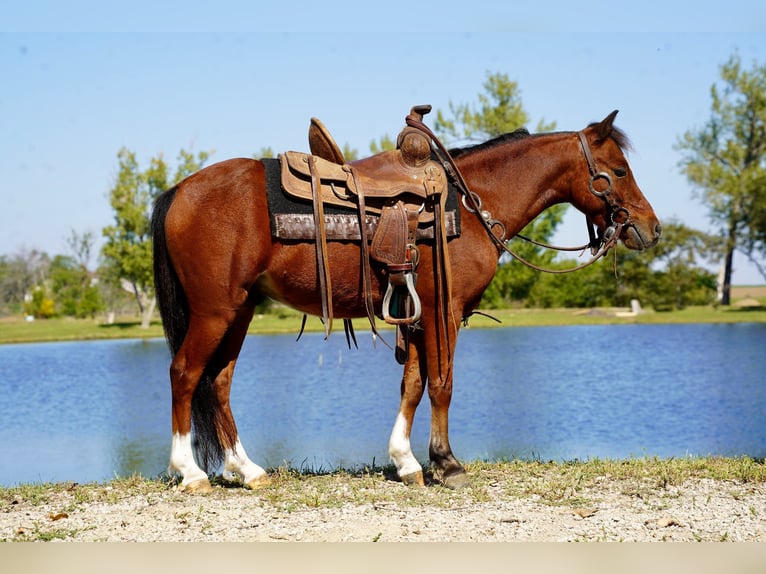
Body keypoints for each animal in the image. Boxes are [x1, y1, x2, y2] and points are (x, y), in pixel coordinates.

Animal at [151, 109, 661, 492]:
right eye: (619, 171)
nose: (651, 228)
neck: (470, 205)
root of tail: (180, 190)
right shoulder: (443, 312)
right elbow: (441, 385)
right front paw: (446, 463)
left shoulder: (417, 314)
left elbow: (412, 385)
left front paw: (407, 462)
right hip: (215, 312)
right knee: (184, 373)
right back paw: (191, 472)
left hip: (240, 311)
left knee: (218, 382)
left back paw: (248, 469)